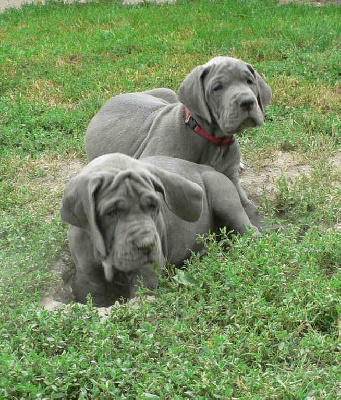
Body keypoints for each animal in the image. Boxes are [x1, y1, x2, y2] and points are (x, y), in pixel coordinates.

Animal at [61, 153, 258, 306]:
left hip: (223, 196)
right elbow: (93, 298)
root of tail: (212, 168)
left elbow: (141, 295)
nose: (147, 244)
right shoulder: (87, 274)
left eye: (153, 206)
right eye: (111, 212)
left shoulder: (147, 268)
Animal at [83, 57, 270, 230]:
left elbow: (248, 206)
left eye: (249, 81)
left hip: (168, 93)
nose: (247, 102)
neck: (210, 140)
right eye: (217, 87)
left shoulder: (231, 178)